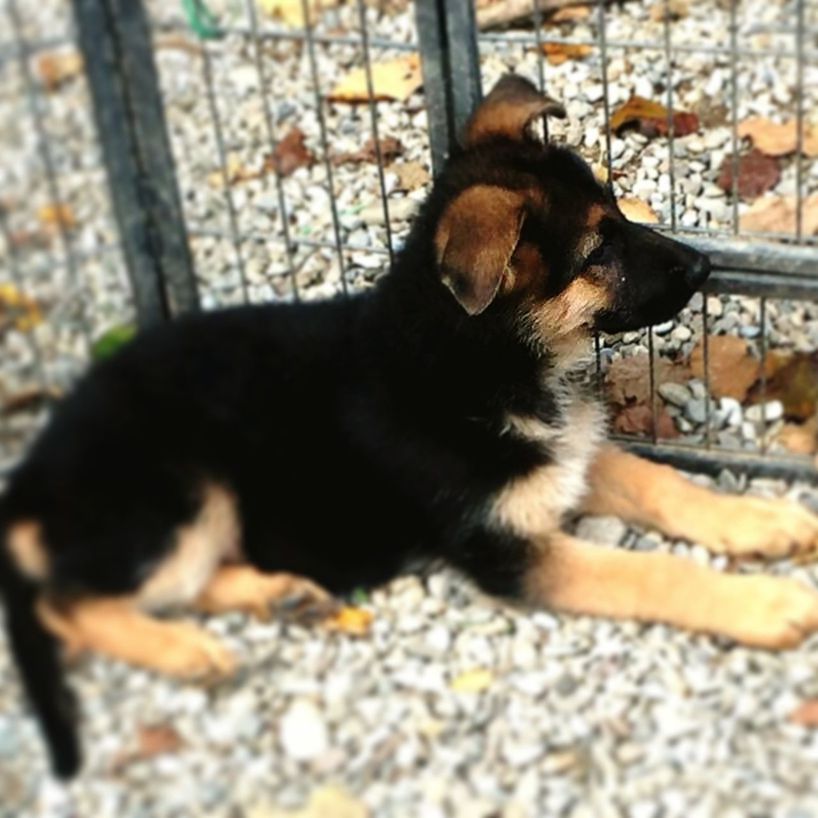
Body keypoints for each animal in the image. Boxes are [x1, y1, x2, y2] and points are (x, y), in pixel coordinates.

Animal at [4, 78, 816, 776]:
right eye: (598, 249)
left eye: (617, 214)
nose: (705, 266)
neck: (473, 359)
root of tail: (33, 476)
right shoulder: (504, 545)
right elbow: (649, 570)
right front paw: (767, 603)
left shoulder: (562, 457)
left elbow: (664, 484)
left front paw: (764, 521)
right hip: (183, 494)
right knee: (66, 601)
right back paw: (183, 650)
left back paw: (279, 595)